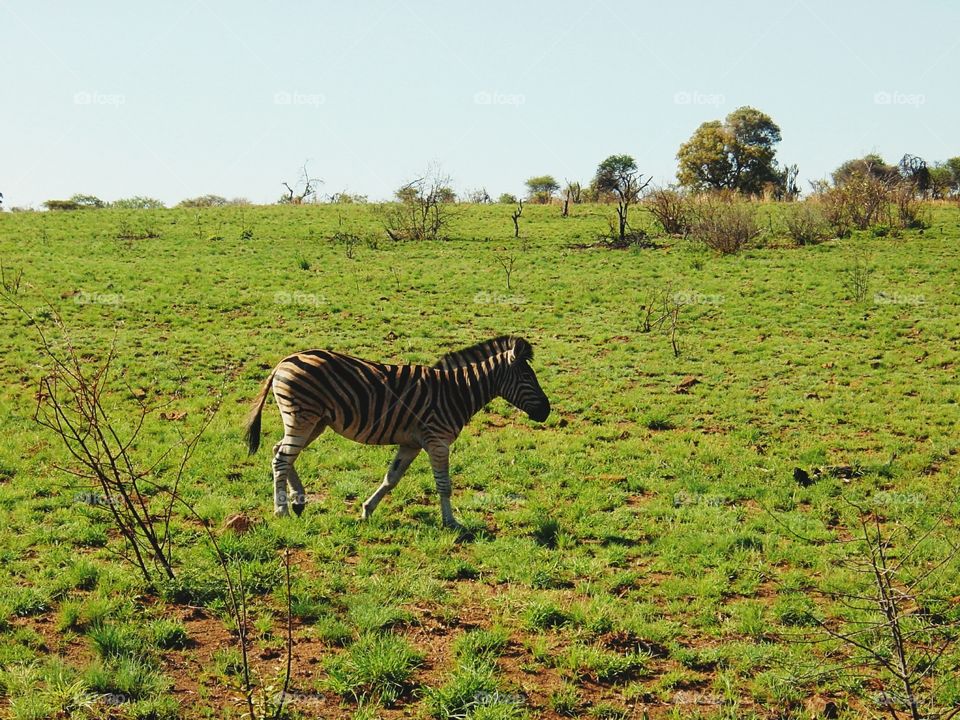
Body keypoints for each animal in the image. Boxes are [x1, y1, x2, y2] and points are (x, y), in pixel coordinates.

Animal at [244, 335, 550, 528]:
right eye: (527, 377)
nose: (547, 412)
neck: (456, 392)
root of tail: (285, 360)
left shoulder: (412, 443)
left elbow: (391, 479)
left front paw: (367, 511)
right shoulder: (437, 441)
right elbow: (444, 485)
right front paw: (451, 522)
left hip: (314, 421)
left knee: (281, 452)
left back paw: (297, 500)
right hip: (302, 417)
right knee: (281, 458)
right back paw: (282, 510)